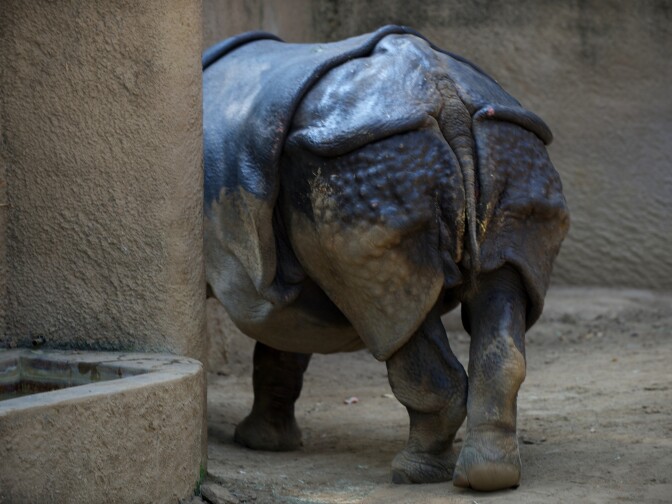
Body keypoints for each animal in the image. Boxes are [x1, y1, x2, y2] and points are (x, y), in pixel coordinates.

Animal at [203, 25, 569, 491]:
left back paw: (411, 474)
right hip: (509, 143)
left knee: (392, 314)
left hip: (366, 156)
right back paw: (488, 478)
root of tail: (447, 96)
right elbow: (283, 344)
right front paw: (265, 444)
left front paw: (253, 442)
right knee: (496, 287)